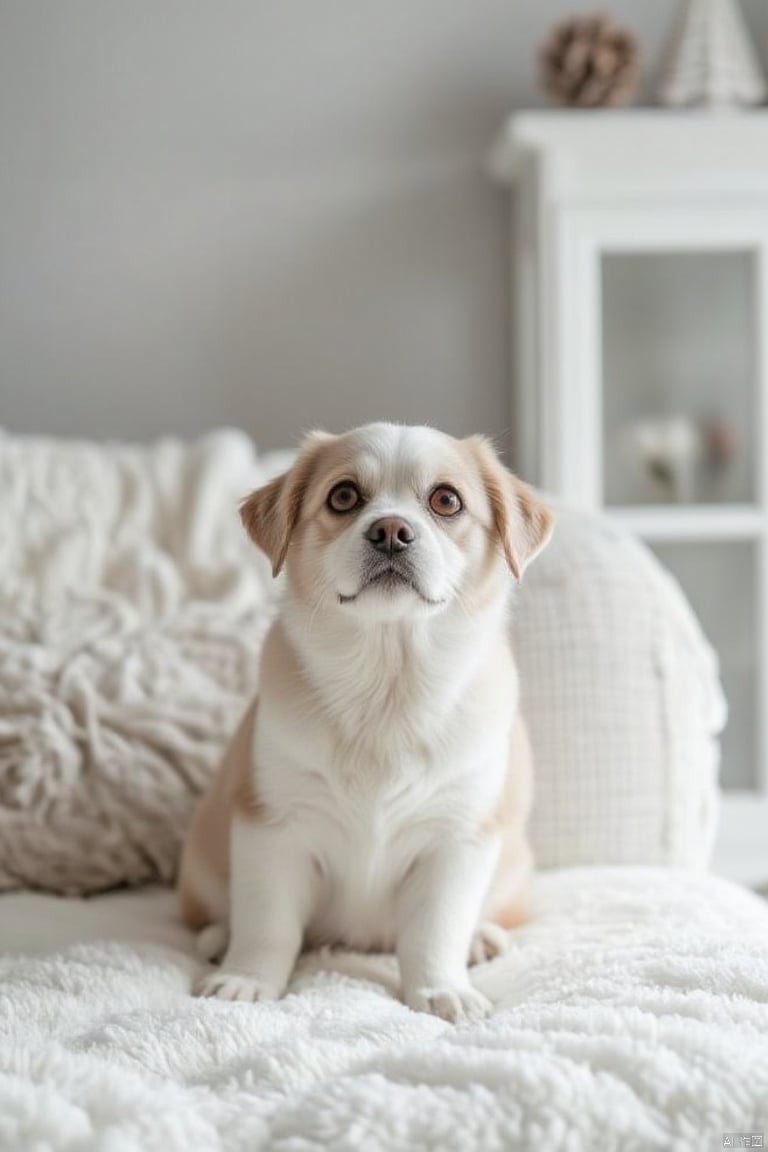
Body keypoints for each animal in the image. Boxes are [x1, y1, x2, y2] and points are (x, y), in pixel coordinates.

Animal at [180, 426, 552, 1027]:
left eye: (446, 500)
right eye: (343, 497)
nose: (391, 531)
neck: (388, 688)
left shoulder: (458, 838)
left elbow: (435, 932)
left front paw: (441, 989)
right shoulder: (272, 827)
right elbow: (267, 925)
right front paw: (247, 980)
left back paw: (481, 940)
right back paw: (218, 938)